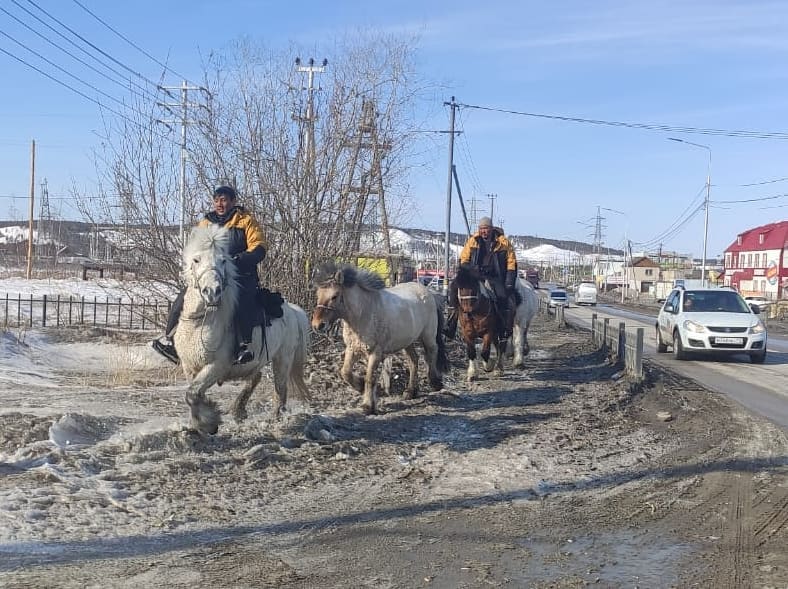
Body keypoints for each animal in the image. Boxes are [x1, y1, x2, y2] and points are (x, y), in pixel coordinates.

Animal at [174, 223, 310, 434]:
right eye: (196, 260)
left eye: (223, 260)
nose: (212, 292)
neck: (200, 323)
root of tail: (293, 310)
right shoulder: (189, 366)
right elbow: (192, 395)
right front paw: (199, 423)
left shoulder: (215, 366)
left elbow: (193, 394)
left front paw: (209, 421)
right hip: (257, 360)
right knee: (257, 377)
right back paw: (239, 410)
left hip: (283, 359)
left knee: (280, 391)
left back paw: (274, 422)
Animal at [312, 262, 450, 414]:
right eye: (318, 294)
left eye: (335, 296)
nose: (317, 325)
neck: (364, 312)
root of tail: (429, 293)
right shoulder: (352, 349)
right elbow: (345, 372)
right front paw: (360, 387)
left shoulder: (375, 352)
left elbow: (370, 377)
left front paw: (367, 405)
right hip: (407, 342)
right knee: (413, 360)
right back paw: (410, 392)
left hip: (428, 336)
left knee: (432, 353)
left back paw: (435, 382)